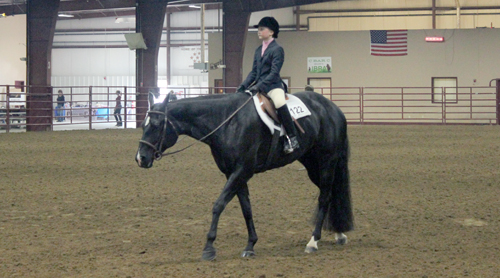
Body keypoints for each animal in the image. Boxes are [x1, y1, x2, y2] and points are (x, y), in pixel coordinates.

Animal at [135, 91, 354, 260]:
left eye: (156, 125)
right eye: (144, 125)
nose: (141, 158)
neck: (227, 121)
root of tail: (333, 108)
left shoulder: (242, 171)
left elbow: (219, 205)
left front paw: (209, 248)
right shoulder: (234, 174)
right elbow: (246, 209)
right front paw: (250, 246)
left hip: (327, 162)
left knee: (324, 197)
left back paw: (313, 241)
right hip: (312, 165)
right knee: (330, 194)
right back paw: (339, 234)